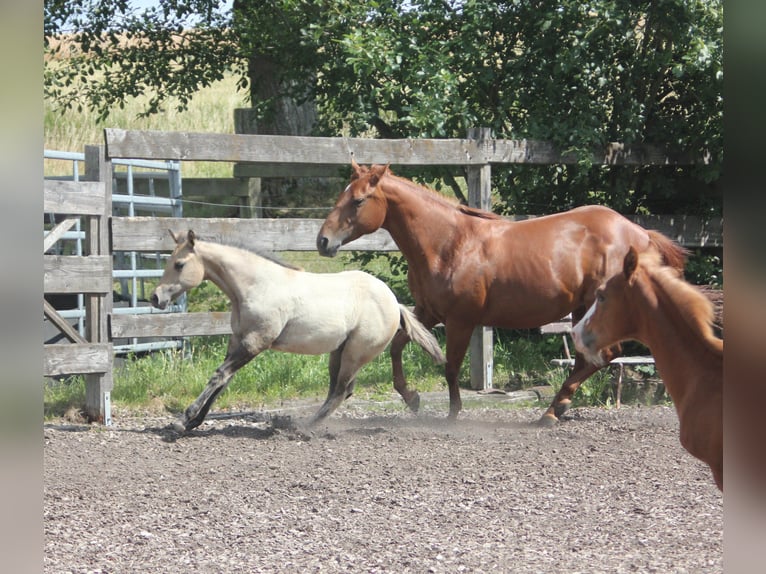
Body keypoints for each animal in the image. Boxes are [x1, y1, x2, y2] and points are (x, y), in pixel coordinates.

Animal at [151, 230, 445, 431]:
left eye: (179, 265)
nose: (155, 297)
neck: (257, 285)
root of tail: (395, 303)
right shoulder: (237, 341)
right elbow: (223, 381)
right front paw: (194, 421)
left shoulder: (255, 343)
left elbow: (218, 376)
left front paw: (185, 418)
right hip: (338, 352)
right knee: (339, 390)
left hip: (356, 353)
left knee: (341, 390)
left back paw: (305, 427)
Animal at [316, 161, 686, 425]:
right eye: (340, 196)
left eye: (358, 200)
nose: (323, 241)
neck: (449, 243)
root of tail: (639, 233)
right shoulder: (428, 312)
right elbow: (396, 347)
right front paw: (413, 398)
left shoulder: (460, 320)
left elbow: (451, 366)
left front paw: (452, 413)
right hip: (584, 310)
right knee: (592, 357)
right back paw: (555, 409)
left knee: (603, 354)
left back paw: (551, 412)